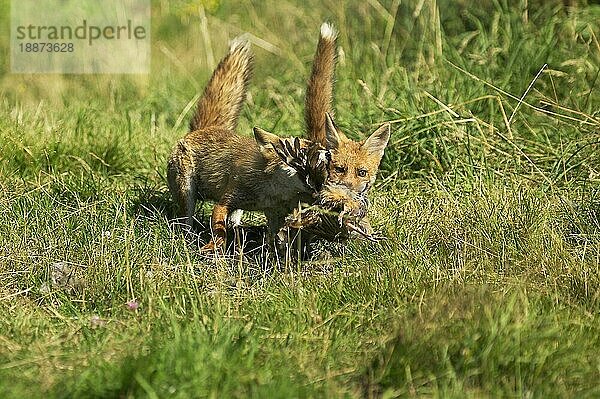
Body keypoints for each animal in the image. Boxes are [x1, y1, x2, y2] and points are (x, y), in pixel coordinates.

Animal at [166, 36, 326, 250]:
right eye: (300, 163)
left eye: (325, 168)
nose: (319, 192)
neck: (270, 194)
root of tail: (201, 128)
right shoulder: (227, 200)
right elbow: (219, 230)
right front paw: (214, 247)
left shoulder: (273, 214)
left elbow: (274, 240)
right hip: (186, 192)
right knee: (186, 223)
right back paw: (189, 238)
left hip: (235, 212)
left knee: (233, 225)